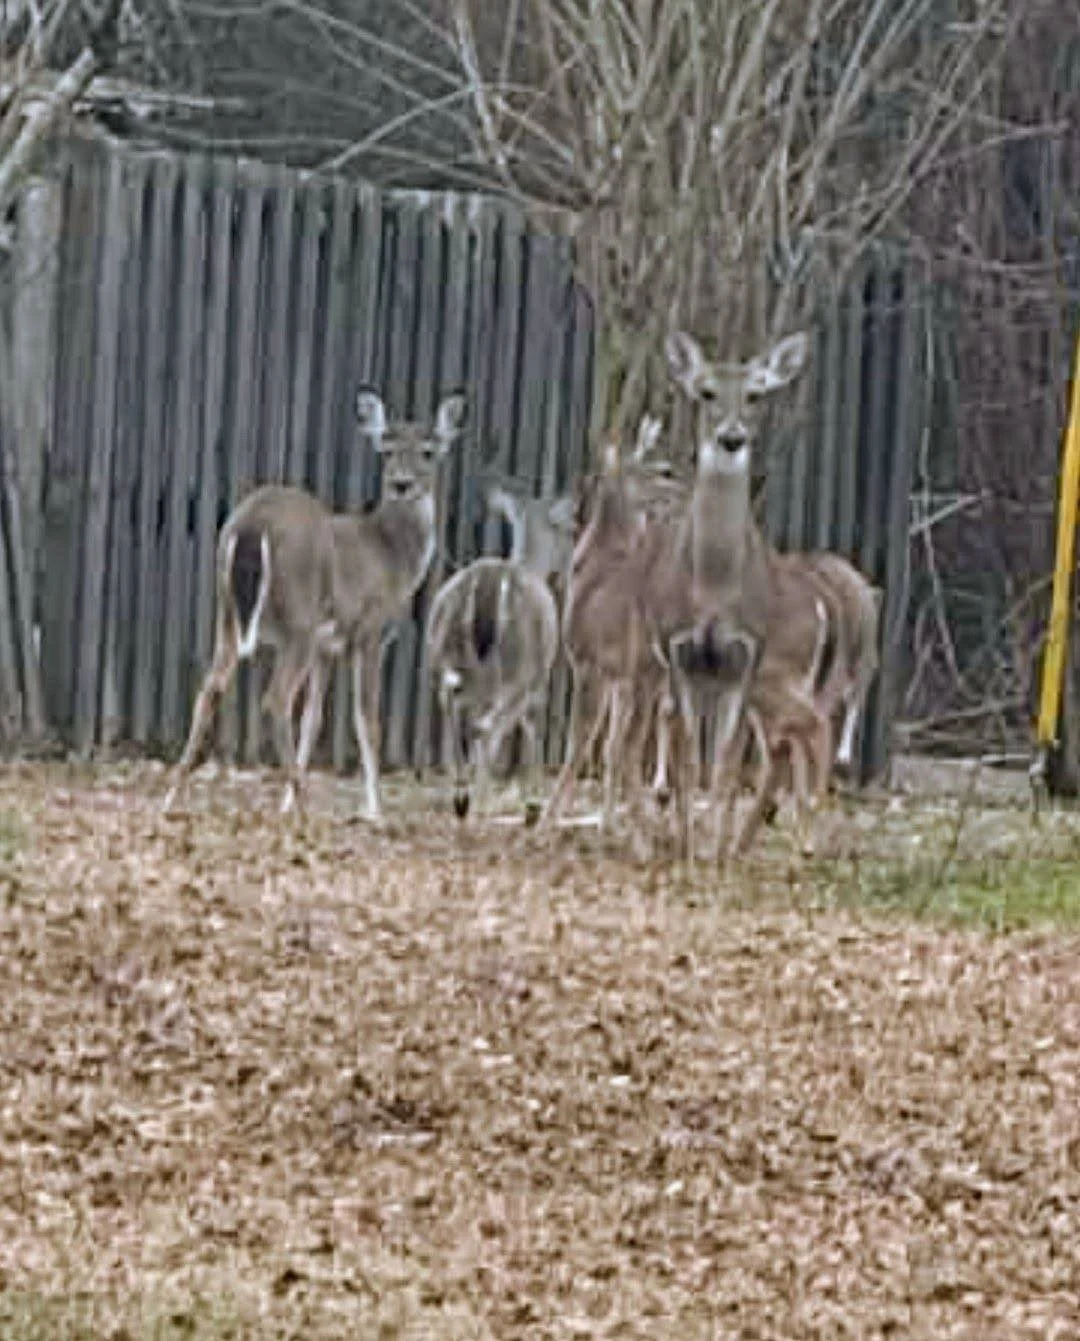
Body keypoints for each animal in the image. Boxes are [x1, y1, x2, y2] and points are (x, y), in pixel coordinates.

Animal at [161, 388, 467, 819]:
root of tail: (250, 525)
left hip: (229, 613)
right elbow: (366, 719)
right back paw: (305, 809)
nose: (402, 484)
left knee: (210, 688)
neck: (392, 554)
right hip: (298, 620)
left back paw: (172, 797)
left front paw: (286, 802)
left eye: (427, 451)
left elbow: (313, 718)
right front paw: (374, 810)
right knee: (275, 699)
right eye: (387, 449)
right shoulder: (369, 631)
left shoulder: (328, 645)